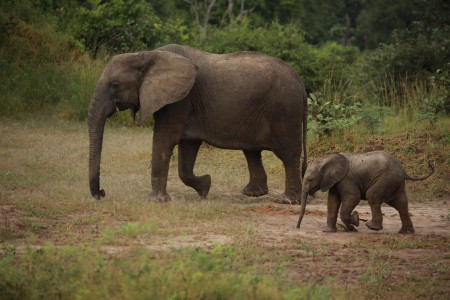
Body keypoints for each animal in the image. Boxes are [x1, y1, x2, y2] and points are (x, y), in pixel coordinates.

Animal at [87, 44, 306, 202]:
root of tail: (300, 81)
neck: (146, 55)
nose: (102, 193)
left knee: (288, 155)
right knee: (252, 152)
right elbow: (187, 150)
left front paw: (155, 201)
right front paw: (205, 187)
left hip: (285, 111)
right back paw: (253, 194)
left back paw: (287, 200)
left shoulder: (180, 101)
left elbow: (164, 139)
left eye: (115, 85)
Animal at [298, 151, 434, 233]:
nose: (297, 227)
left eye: (310, 179)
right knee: (401, 204)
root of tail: (404, 171)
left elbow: (353, 197)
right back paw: (405, 232)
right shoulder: (335, 181)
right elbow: (332, 201)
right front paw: (330, 231)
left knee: (373, 196)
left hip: (386, 180)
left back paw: (372, 227)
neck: (326, 158)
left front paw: (356, 220)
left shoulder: (346, 179)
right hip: (395, 183)